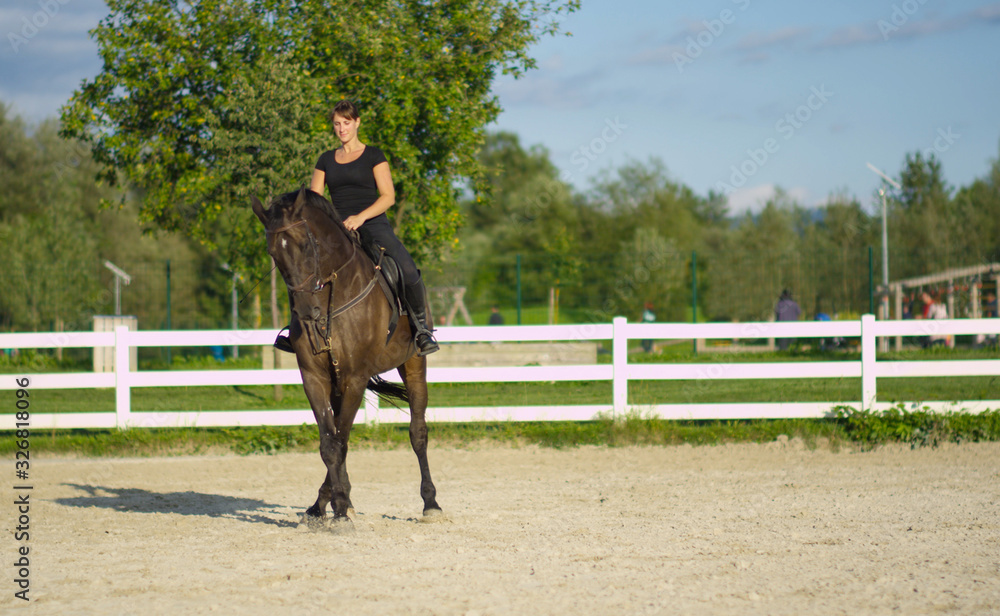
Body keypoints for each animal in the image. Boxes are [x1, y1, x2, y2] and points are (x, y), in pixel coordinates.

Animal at [252, 188, 440, 524]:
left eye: (305, 245)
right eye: (273, 253)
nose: (306, 311)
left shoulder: (355, 377)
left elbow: (340, 439)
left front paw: (338, 509)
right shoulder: (315, 377)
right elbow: (331, 443)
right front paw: (326, 507)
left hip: (414, 363)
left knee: (418, 431)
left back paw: (430, 504)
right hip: (338, 383)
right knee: (342, 435)